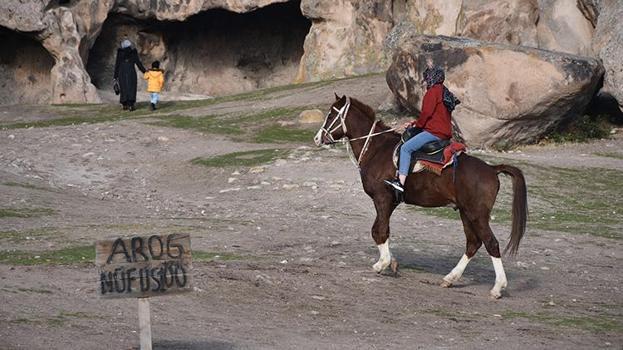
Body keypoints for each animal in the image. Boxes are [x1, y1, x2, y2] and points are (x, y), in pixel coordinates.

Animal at [316, 94, 528, 300]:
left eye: (331, 115)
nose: (317, 138)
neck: (377, 149)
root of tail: (492, 169)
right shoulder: (390, 202)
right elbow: (384, 230)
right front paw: (392, 262)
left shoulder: (382, 199)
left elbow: (378, 231)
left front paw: (382, 263)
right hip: (466, 213)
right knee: (473, 243)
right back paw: (450, 278)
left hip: (477, 214)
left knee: (491, 243)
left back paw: (497, 287)